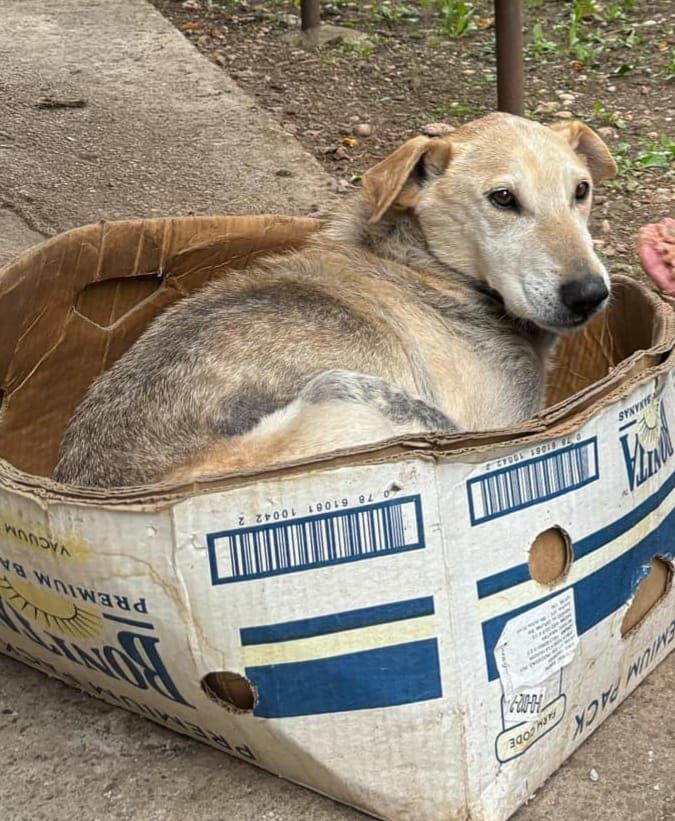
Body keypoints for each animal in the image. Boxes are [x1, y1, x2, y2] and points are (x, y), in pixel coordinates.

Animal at [55, 114, 616, 486]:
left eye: (581, 190)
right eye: (502, 199)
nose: (591, 294)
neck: (426, 263)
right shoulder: (496, 423)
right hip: (366, 398)